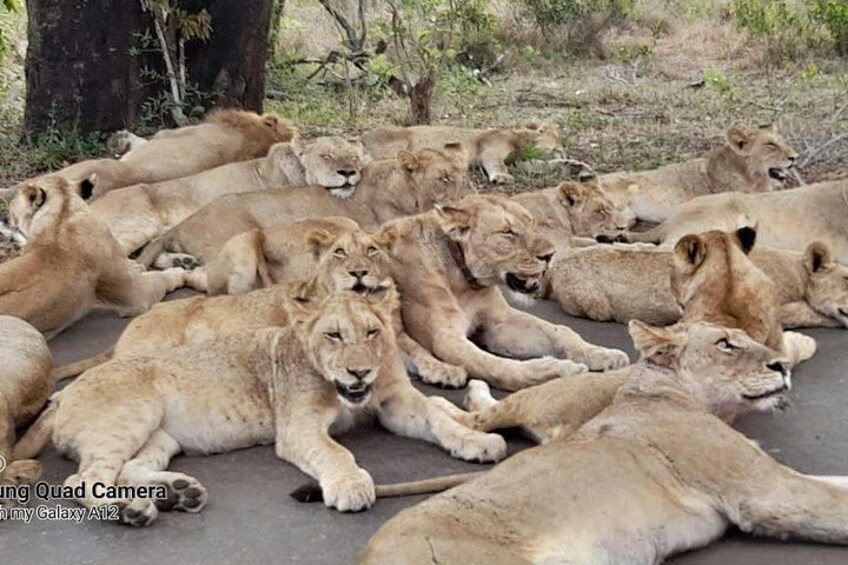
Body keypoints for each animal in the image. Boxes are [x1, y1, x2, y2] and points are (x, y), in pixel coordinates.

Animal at [0, 178, 186, 337]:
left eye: (12, 208)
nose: (5, 219)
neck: (61, 217)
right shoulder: (137, 296)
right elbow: (161, 278)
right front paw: (178, 273)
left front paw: (136, 265)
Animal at [14, 289, 507, 526]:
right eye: (333, 335)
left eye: (372, 332)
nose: (360, 373)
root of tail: (62, 395)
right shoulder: (298, 427)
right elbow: (336, 452)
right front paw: (350, 486)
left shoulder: (394, 402)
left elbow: (437, 416)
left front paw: (477, 441)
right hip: (130, 416)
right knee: (84, 480)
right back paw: (131, 512)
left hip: (159, 437)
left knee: (126, 470)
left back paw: (177, 493)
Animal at [361, 122, 560, 184]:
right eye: (557, 148)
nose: (562, 152)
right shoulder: (489, 150)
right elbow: (497, 164)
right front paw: (502, 177)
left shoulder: (519, 161)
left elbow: (539, 166)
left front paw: (568, 165)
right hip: (401, 140)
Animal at [375, 194, 630, 392]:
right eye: (507, 232)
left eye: (532, 222)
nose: (550, 255)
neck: (463, 282)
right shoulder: (445, 339)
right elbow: (495, 365)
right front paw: (553, 371)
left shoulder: (499, 320)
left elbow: (561, 331)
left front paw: (600, 353)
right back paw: (442, 371)